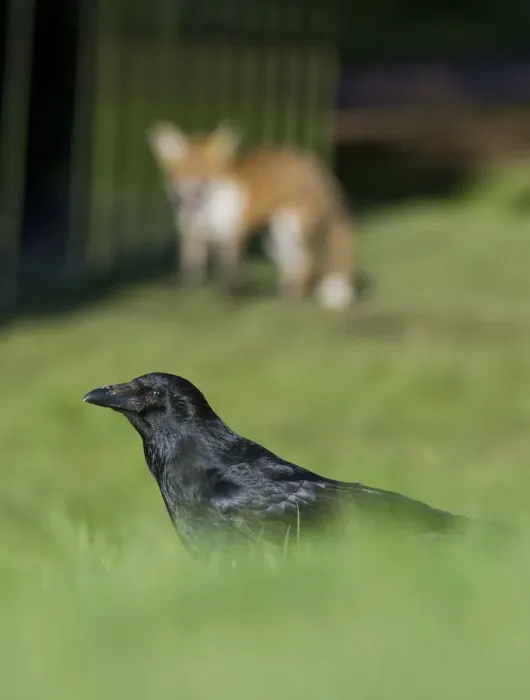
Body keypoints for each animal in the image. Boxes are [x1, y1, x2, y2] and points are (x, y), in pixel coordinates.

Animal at [146, 120, 359, 309]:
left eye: (207, 175)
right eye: (181, 173)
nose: (190, 195)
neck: (207, 213)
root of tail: (321, 170)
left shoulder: (233, 237)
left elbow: (231, 276)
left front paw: (229, 303)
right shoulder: (192, 237)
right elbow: (190, 273)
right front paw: (186, 301)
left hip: (290, 228)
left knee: (306, 264)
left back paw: (289, 304)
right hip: (274, 240)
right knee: (294, 266)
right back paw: (280, 296)